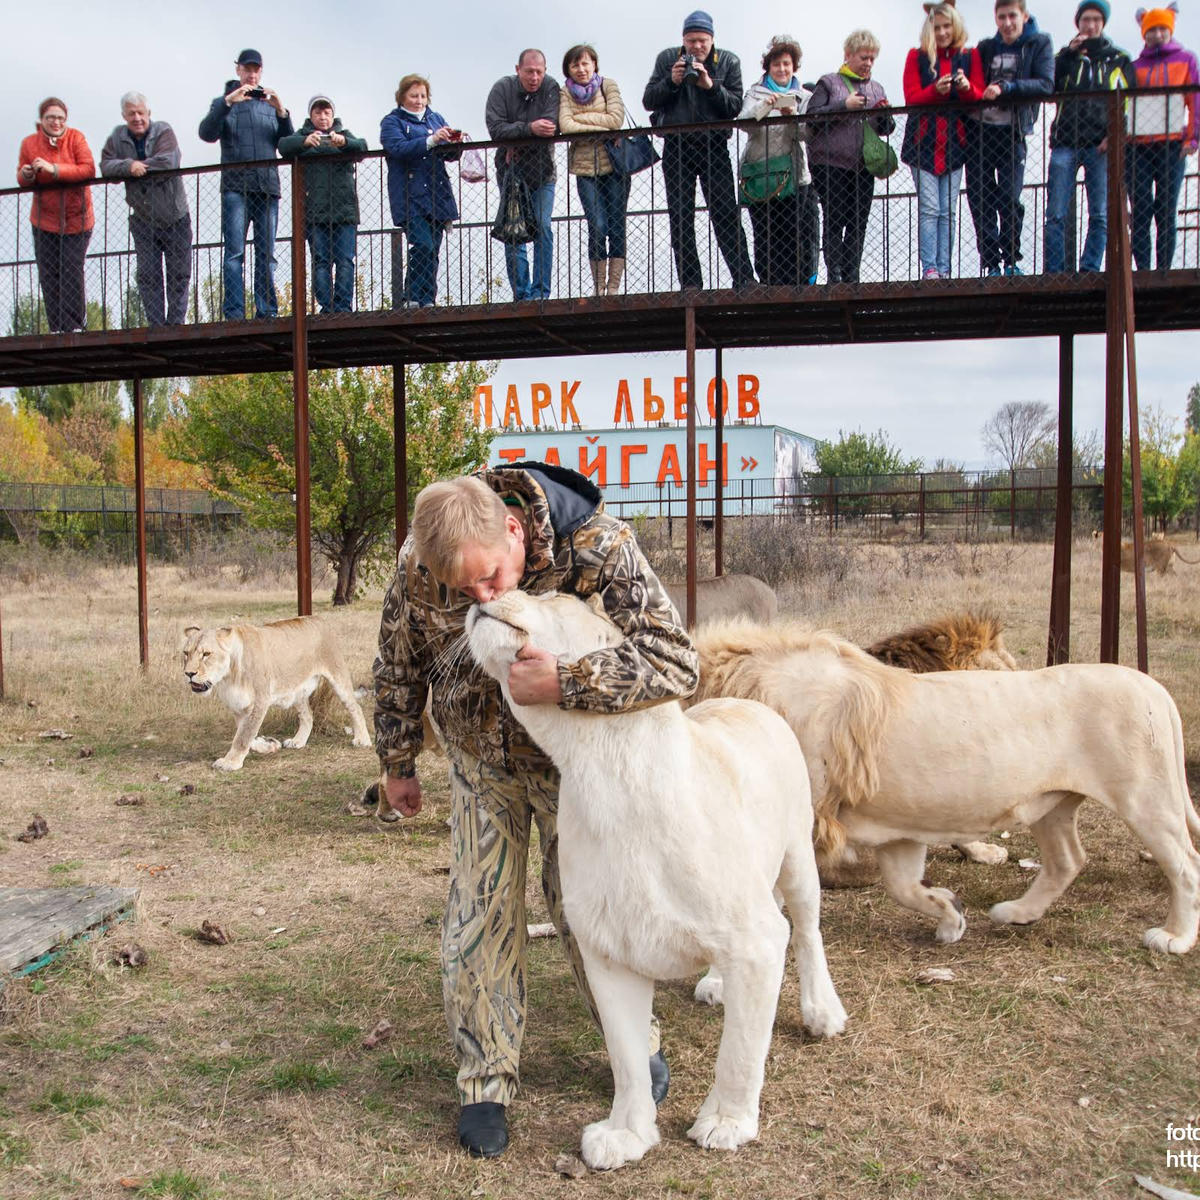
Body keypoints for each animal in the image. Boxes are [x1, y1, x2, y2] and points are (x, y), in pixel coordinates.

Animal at [180, 614, 369, 772]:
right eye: (186, 653)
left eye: (206, 654)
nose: (189, 673)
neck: (228, 676)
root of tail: (319, 618)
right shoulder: (238, 705)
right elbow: (245, 733)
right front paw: (267, 746)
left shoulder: (259, 702)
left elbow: (243, 736)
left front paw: (230, 762)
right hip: (297, 690)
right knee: (308, 715)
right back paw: (298, 741)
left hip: (337, 676)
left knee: (355, 707)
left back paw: (362, 739)